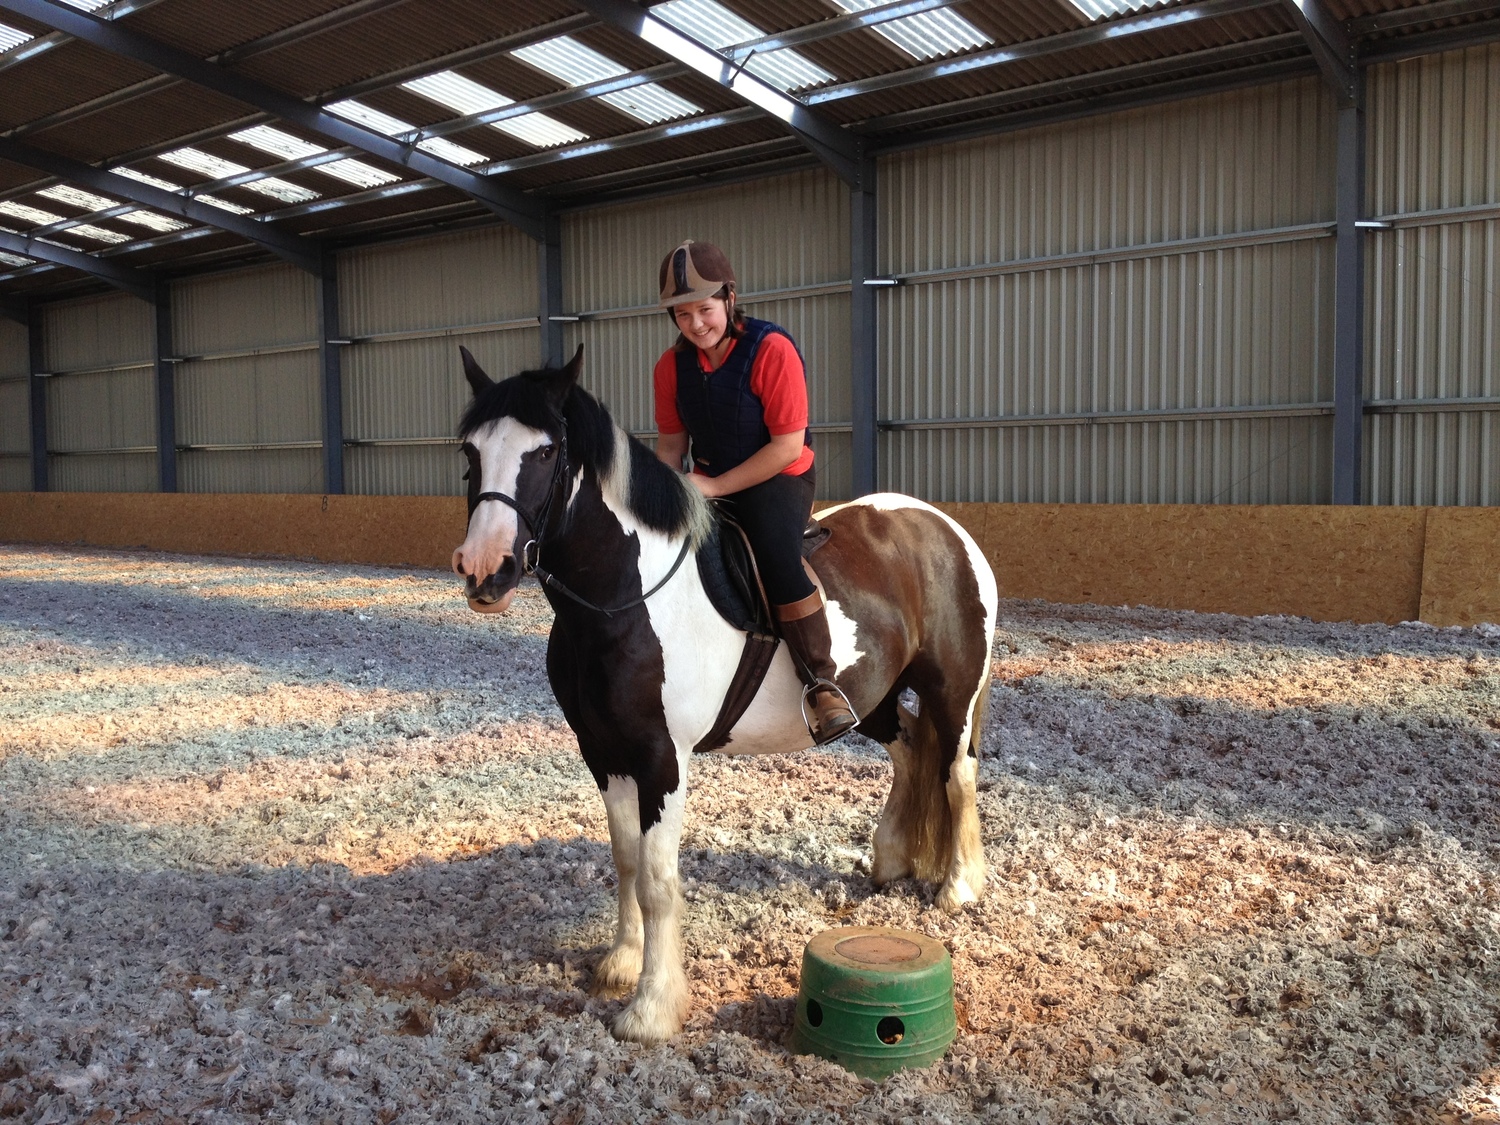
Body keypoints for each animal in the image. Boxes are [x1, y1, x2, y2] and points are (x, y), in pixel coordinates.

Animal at [450, 345, 998, 1046]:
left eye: (545, 452)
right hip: (873, 696)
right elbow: (626, 860)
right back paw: (892, 860)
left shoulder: (662, 760)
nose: (483, 570)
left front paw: (652, 1008)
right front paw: (621, 963)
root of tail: (947, 529)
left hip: (953, 691)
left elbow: (658, 881)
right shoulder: (603, 753)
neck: (627, 599)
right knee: (910, 754)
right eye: (470, 452)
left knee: (956, 772)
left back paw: (960, 886)